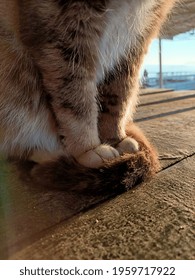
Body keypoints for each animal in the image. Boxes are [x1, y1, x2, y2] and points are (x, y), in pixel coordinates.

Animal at [0, 0, 177, 190]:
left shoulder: (136, 41)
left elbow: (119, 97)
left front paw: (115, 139)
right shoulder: (61, 29)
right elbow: (76, 99)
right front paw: (88, 149)